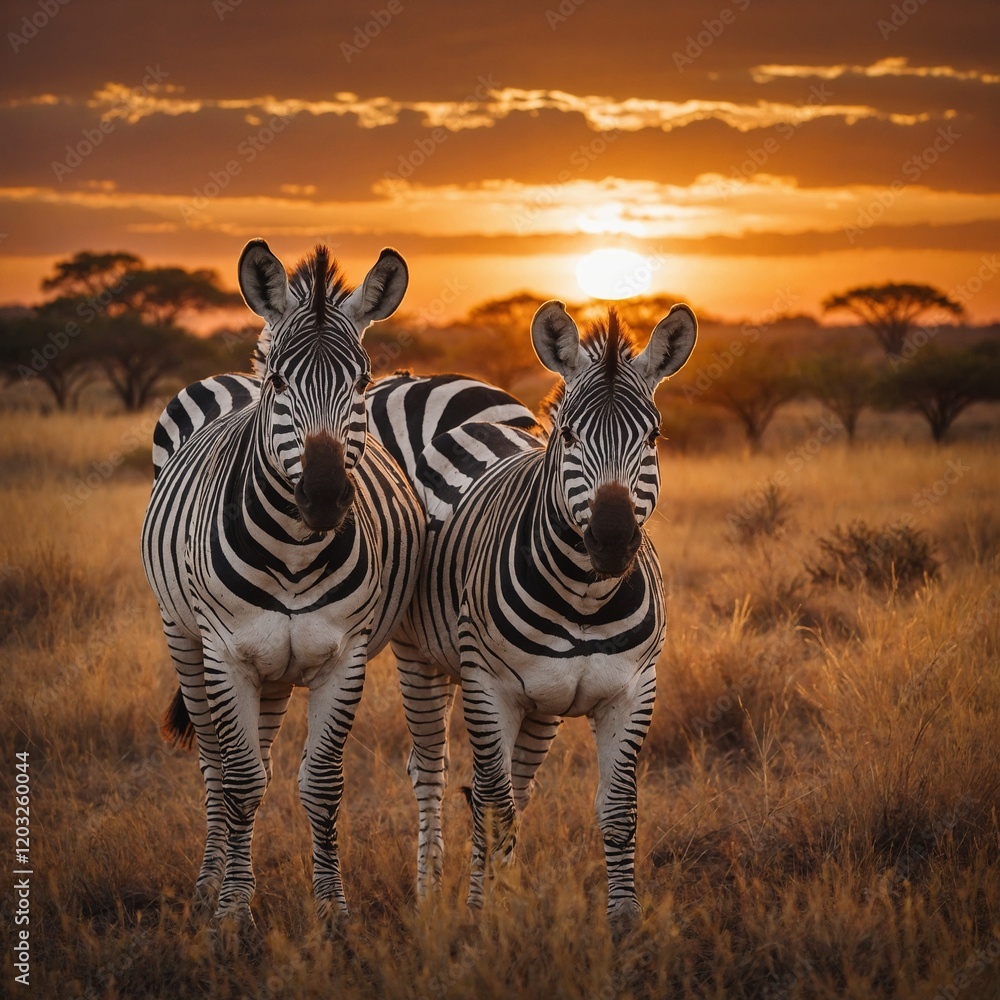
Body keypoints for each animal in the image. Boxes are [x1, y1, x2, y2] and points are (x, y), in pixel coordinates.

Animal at [141, 240, 424, 932]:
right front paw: (230, 915)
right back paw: (205, 887)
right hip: (183, 638)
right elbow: (238, 780)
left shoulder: (343, 657)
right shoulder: (225, 652)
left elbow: (318, 783)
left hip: (271, 671)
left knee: (260, 760)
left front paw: (332, 912)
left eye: (362, 382)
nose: (323, 498)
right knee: (218, 767)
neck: (295, 552)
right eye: (280, 384)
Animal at [367, 300, 697, 936]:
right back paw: (431, 895)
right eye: (568, 434)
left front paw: (624, 925)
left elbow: (617, 810)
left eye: (653, 435)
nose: (612, 539)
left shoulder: (632, 691)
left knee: (511, 790)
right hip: (421, 659)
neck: (585, 599)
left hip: (543, 704)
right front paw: (482, 922)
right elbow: (492, 807)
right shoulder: (489, 685)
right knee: (435, 774)